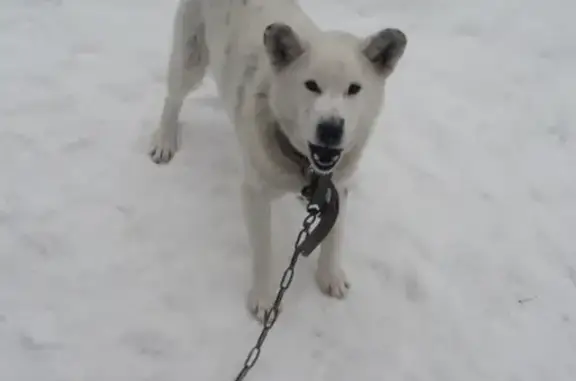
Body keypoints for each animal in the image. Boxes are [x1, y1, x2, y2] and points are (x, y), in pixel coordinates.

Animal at [150, 0, 410, 320]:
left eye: (354, 88)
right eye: (311, 85)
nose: (331, 128)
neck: (305, 165)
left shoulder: (340, 185)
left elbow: (334, 236)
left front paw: (330, 276)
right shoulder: (255, 194)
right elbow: (264, 251)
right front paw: (263, 299)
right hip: (190, 59)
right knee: (172, 99)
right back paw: (164, 140)